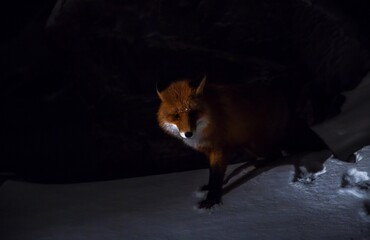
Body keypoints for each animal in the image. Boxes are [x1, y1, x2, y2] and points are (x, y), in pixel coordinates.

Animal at [156, 77, 330, 208]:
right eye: (176, 116)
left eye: (193, 113)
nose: (188, 133)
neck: (210, 119)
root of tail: (282, 98)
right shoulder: (209, 150)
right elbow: (212, 174)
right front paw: (208, 189)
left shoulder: (219, 149)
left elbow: (217, 176)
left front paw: (212, 200)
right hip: (248, 145)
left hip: (259, 144)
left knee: (278, 154)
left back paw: (262, 165)